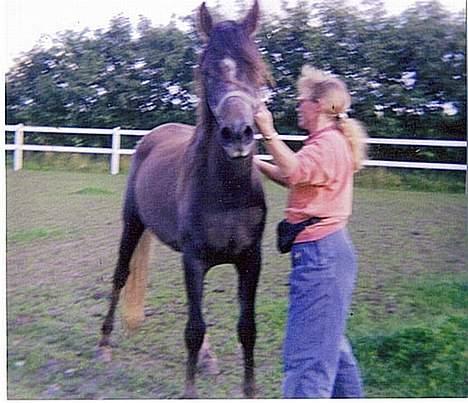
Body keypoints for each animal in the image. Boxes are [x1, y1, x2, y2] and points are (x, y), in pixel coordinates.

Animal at [97, 0, 268, 398]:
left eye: (256, 68)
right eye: (206, 71)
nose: (237, 134)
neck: (227, 193)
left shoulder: (250, 260)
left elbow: (247, 328)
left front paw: (249, 388)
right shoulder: (193, 260)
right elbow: (193, 329)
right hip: (133, 225)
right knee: (120, 277)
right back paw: (104, 345)